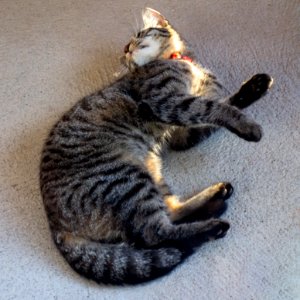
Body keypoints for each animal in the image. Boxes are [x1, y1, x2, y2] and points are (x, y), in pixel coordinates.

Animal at [39, 7, 272, 284]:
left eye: (139, 35)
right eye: (125, 51)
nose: (126, 48)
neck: (179, 61)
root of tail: (54, 224)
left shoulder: (183, 134)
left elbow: (221, 107)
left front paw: (253, 88)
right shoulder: (168, 103)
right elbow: (215, 108)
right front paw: (247, 126)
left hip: (151, 172)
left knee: (170, 212)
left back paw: (215, 199)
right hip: (128, 180)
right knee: (156, 233)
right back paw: (212, 226)